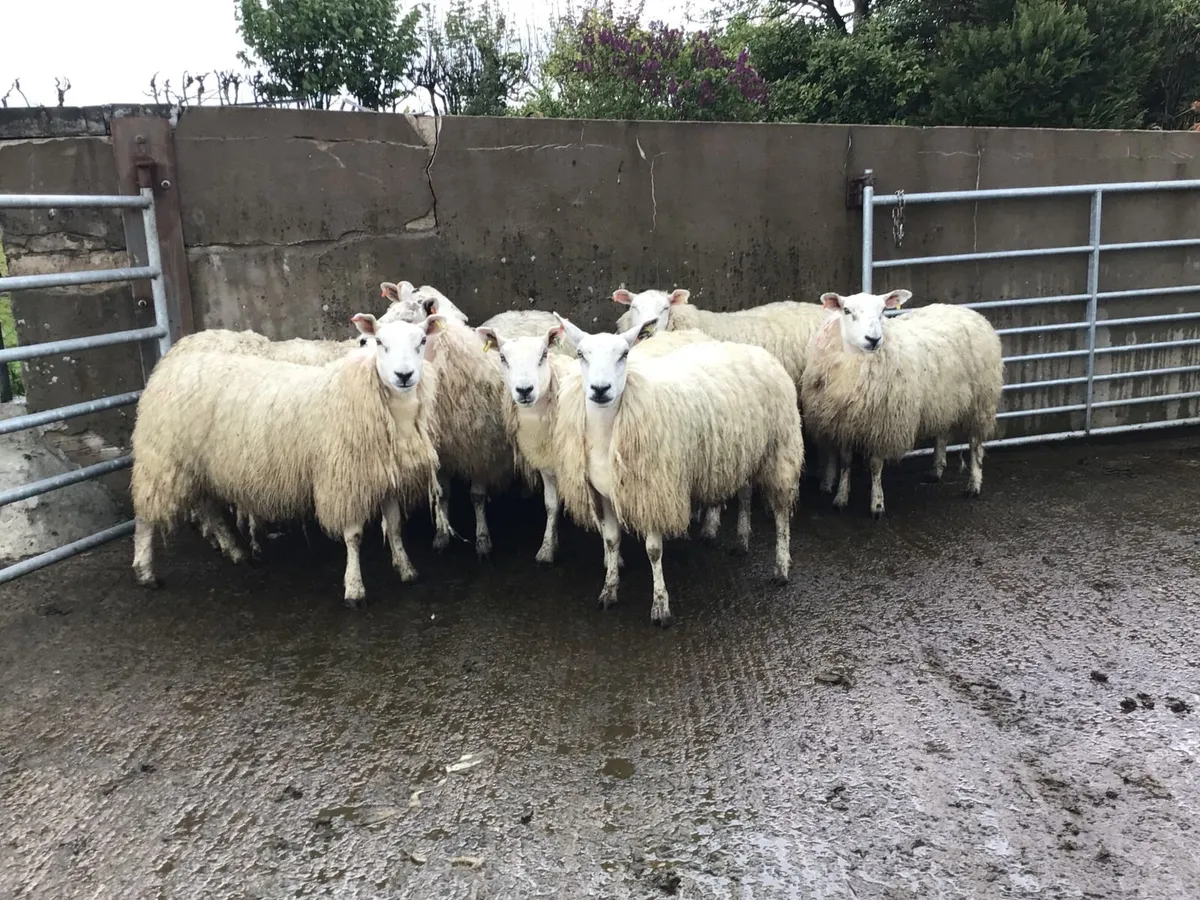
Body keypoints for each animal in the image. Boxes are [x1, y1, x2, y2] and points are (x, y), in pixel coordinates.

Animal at [130, 313, 446, 607]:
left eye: (422, 341)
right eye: (380, 342)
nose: (403, 375)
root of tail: (168, 365)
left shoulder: (387, 477)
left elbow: (394, 527)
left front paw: (406, 569)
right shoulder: (343, 482)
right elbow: (353, 537)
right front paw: (355, 589)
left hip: (200, 466)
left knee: (209, 507)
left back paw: (234, 550)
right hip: (162, 460)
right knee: (146, 516)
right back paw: (145, 571)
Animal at [476, 319, 717, 565]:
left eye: (543, 355)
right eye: (503, 358)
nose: (524, 390)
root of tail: (694, 333)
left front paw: (612, 559)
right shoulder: (549, 467)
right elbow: (551, 506)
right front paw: (547, 548)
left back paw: (710, 526)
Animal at [551, 317, 805, 627]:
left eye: (624, 354)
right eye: (581, 354)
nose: (601, 389)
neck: (608, 434)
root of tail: (756, 350)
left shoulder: (654, 490)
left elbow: (653, 550)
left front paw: (661, 606)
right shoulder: (603, 494)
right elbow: (611, 542)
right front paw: (609, 590)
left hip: (780, 448)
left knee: (781, 513)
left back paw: (781, 568)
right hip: (742, 452)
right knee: (745, 494)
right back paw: (742, 541)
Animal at [800, 289, 1003, 519]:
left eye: (882, 310)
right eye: (847, 310)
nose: (873, 339)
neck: (856, 364)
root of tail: (970, 312)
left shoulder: (881, 426)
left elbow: (875, 465)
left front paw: (877, 505)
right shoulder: (844, 423)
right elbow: (845, 461)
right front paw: (841, 498)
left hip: (981, 402)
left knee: (976, 444)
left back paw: (974, 485)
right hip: (943, 400)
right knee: (942, 434)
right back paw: (936, 470)